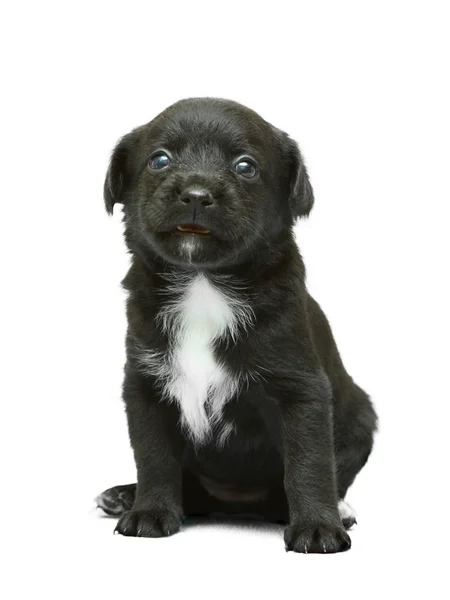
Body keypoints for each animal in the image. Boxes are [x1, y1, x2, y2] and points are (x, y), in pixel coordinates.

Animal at [97, 98, 376, 552]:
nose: (196, 194)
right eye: (160, 160)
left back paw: (338, 509)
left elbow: (309, 462)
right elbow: (153, 457)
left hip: (361, 417)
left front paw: (318, 526)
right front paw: (150, 511)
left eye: (245, 166)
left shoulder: (302, 390)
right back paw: (125, 496)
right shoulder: (145, 386)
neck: (204, 284)